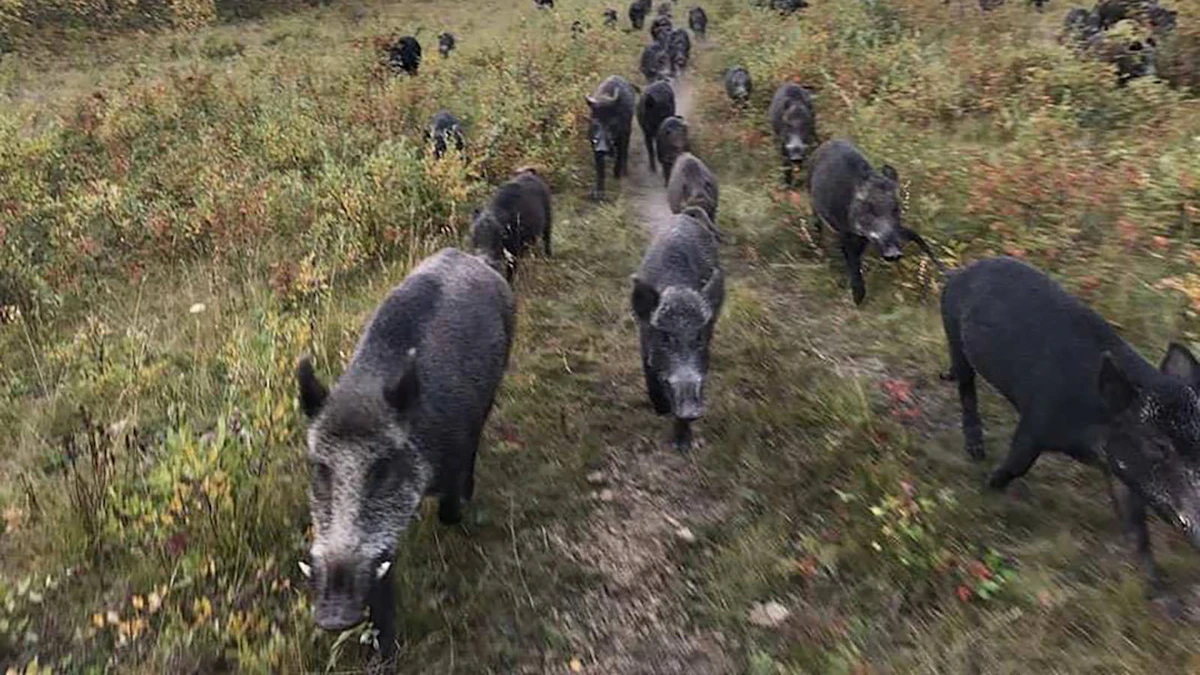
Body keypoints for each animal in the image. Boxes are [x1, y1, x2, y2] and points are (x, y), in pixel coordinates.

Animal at [296, 247, 515, 658]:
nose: (334, 614)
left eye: (383, 469)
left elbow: (449, 508)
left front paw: (457, 511)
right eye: (320, 468)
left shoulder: (455, 449)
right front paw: (383, 657)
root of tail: (475, 258)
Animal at [632, 210, 724, 451]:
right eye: (665, 337)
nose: (692, 410)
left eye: (699, 337)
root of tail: (684, 215)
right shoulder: (643, 343)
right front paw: (661, 410)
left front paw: (684, 447)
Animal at [807, 139, 945, 305]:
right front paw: (858, 299)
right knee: (817, 224)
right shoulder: (845, 231)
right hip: (812, 201)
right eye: (869, 209)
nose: (894, 253)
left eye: (896, 208)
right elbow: (852, 259)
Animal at [941, 256, 1200, 583]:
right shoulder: (1036, 423)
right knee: (967, 389)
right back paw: (975, 451)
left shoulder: (1119, 469)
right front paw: (987, 489)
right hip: (954, 335)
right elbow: (1017, 465)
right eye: (1158, 445)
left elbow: (1135, 524)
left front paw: (1154, 586)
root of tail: (959, 272)